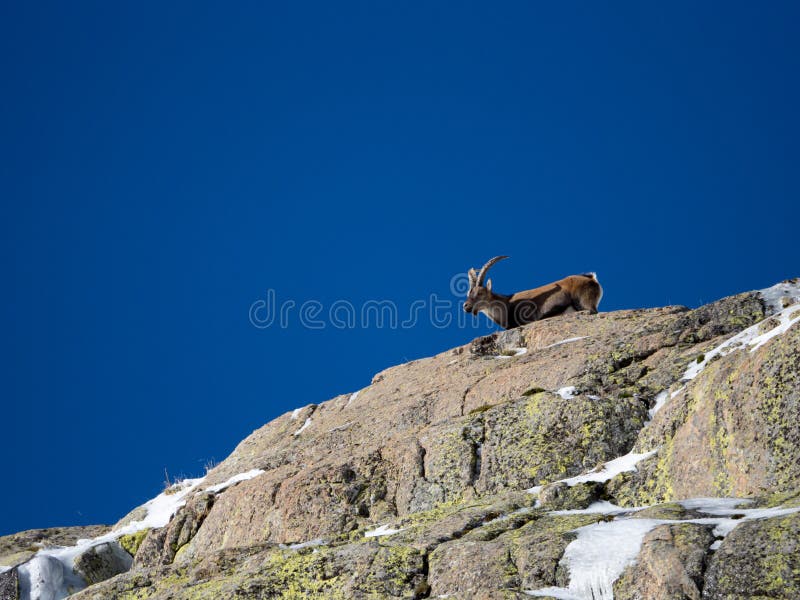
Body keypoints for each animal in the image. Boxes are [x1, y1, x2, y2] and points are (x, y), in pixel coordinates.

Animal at [463, 256, 603, 329]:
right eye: (468, 293)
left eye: (480, 293)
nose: (466, 306)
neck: (506, 305)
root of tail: (591, 278)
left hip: (584, 302)